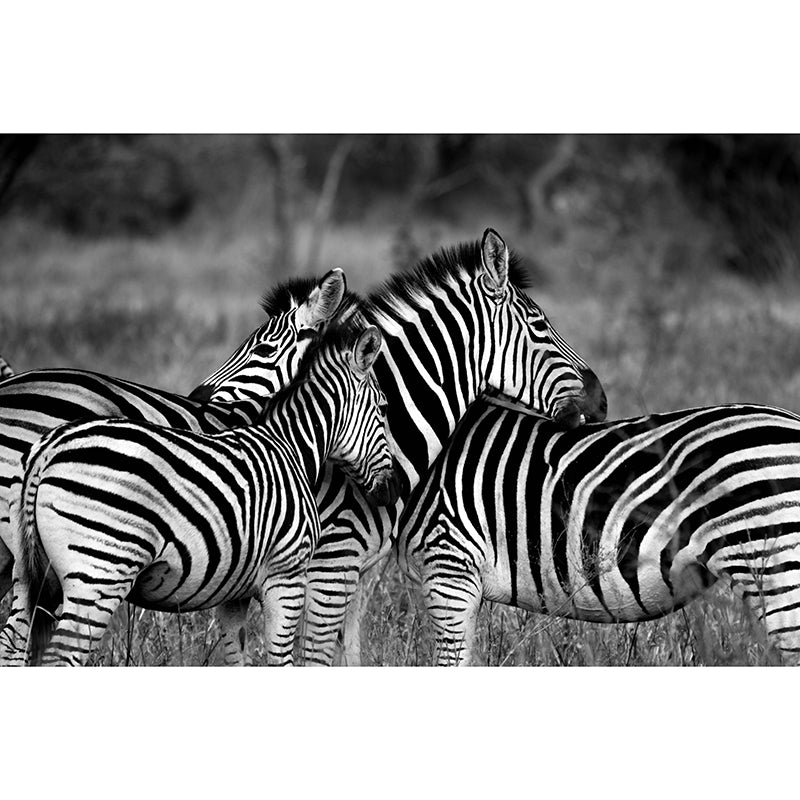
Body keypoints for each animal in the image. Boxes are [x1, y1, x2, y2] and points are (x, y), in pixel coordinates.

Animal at [0, 309, 397, 666]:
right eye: (382, 408)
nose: (391, 491)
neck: (290, 446)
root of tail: (49, 449)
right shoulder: (287, 575)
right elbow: (281, 661)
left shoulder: (235, 590)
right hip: (99, 573)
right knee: (60, 656)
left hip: (31, 576)